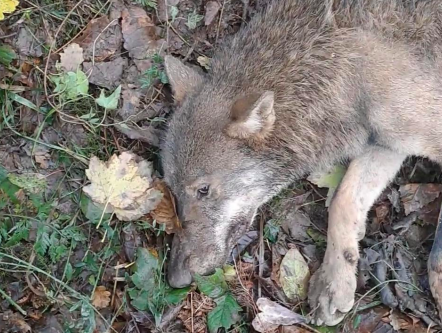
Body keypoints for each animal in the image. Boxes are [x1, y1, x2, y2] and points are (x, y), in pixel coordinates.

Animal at [161, 0, 442, 322]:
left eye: (203, 190)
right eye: (172, 191)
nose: (176, 278)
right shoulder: (386, 143)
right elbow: (343, 200)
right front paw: (335, 283)